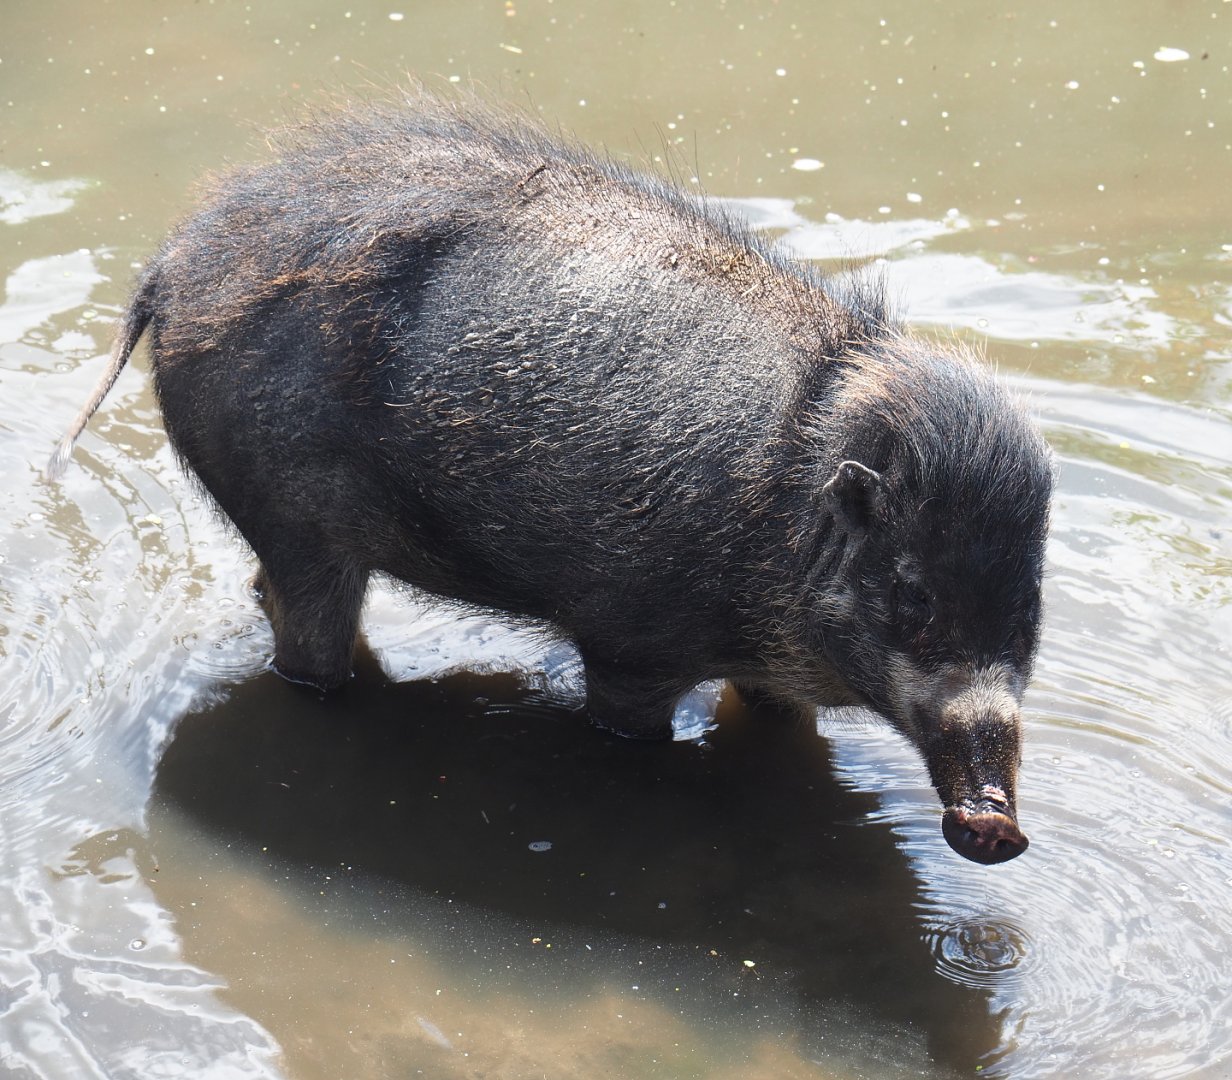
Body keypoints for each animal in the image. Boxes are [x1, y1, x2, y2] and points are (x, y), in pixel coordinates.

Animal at [51, 89, 1051, 864]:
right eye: (913, 595)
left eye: (1029, 608)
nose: (997, 829)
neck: (786, 513)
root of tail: (169, 268)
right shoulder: (630, 647)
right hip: (295, 518)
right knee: (307, 647)